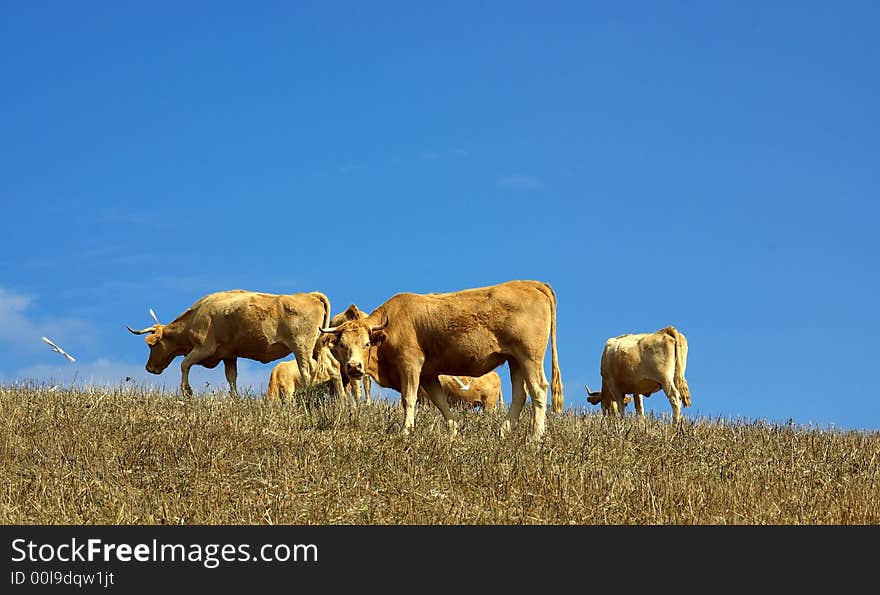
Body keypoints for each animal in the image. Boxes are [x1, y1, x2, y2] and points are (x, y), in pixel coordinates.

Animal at [124, 290, 330, 398]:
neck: (196, 316)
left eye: (152, 345)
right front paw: (235, 397)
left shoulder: (203, 348)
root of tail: (310, 295)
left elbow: (184, 364)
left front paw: (187, 391)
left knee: (308, 369)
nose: (149, 368)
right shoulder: (229, 355)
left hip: (301, 347)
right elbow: (231, 377)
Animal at [318, 280, 564, 442]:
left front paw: (406, 431)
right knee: (520, 395)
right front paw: (453, 433)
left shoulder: (411, 364)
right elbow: (441, 403)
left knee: (539, 390)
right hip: (515, 360)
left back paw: (535, 436)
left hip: (529, 356)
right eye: (342, 345)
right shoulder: (428, 375)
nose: (354, 367)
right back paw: (503, 432)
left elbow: (408, 399)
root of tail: (531, 283)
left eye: (367, 343)